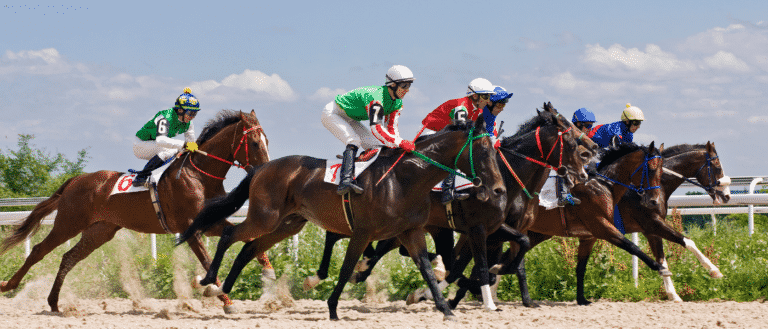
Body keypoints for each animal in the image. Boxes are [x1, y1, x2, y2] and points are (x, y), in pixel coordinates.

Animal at [0, 109, 270, 312]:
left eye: (267, 141)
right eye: (255, 143)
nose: (265, 170)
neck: (199, 175)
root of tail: (77, 180)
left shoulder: (210, 222)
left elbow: (245, 235)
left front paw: (268, 271)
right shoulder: (191, 229)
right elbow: (207, 262)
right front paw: (225, 300)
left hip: (100, 231)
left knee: (68, 258)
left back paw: (54, 303)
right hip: (69, 223)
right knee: (38, 251)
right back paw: (8, 286)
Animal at [177, 118, 508, 320]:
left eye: (495, 151)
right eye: (482, 150)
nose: (498, 189)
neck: (405, 179)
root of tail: (261, 168)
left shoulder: (411, 231)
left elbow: (426, 268)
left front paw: (445, 309)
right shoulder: (363, 233)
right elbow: (348, 267)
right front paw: (333, 307)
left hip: (288, 224)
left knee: (248, 248)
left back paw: (223, 290)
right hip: (264, 217)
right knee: (230, 235)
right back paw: (209, 282)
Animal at [304, 102, 596, 310]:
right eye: (569, 134)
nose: (590, 153)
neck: (509, 178)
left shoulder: (490, 230)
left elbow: (505, 254)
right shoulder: (479, 229)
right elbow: (478, 266)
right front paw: (482, 293)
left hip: (421, 226)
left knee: (386, 248)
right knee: (340, 235)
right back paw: (326, 276)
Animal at [508, 140, 728, 304]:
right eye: (717, 167)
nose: (726, 196)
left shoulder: (650, 230)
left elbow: (662, 257)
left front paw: (673, 294)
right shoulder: (651, 223)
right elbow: (686, 242)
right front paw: (715, 271)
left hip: (537, 233)